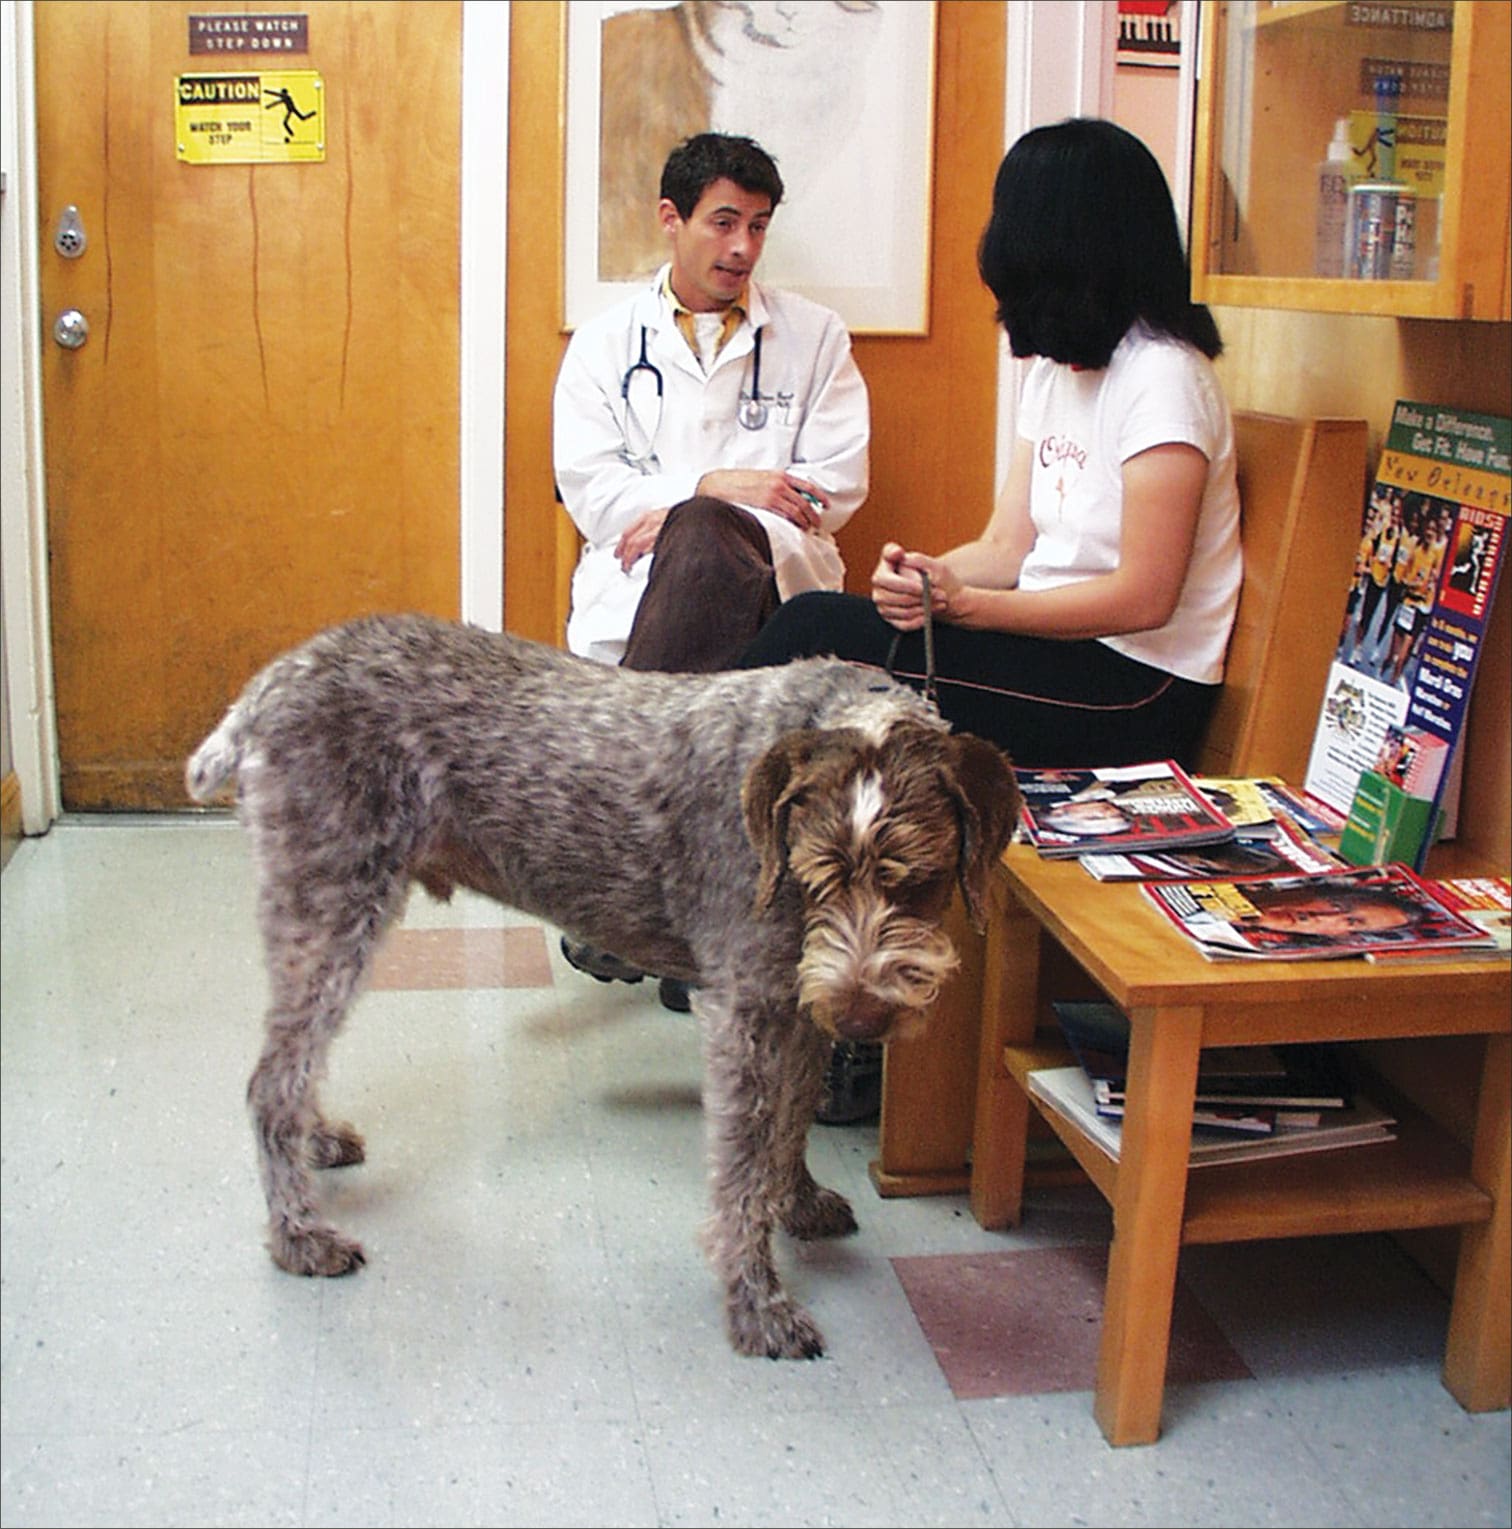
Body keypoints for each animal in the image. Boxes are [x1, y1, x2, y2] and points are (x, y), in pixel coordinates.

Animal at [188, 614, 1015, 1357]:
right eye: (820, 878)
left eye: (922, 882)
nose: (867, 1019)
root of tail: (270, 683)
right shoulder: (743, 1007)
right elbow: (741, 1170)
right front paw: (756, 1303)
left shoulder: (799, 997)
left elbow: (790, 1123)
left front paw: (799, 1198)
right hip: (332, 903)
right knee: (272, 1080)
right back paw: (298, 1234)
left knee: (292, 1067)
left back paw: (316, 1140)